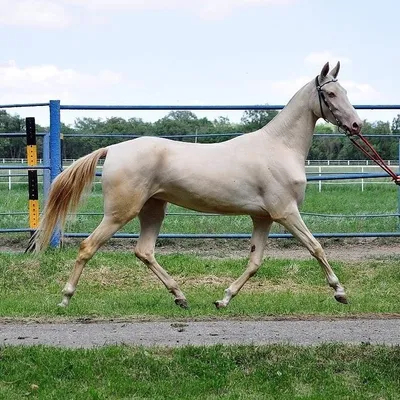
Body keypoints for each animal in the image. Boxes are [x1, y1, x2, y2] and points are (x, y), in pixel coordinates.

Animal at [30, 61, 362, 310]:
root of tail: (113, 149)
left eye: (344, 90)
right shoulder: (286, 212)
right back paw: (65, 298)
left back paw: (180, 297)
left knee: (144, 251)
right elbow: (316, 246)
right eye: (330, 93)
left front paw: (224, 299)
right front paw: (340, 292)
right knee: (88, 246)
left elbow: (254, 261)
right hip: (119, 213)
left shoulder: (263, 217)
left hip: (154, 209)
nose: (357, 125)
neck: (278, 147)